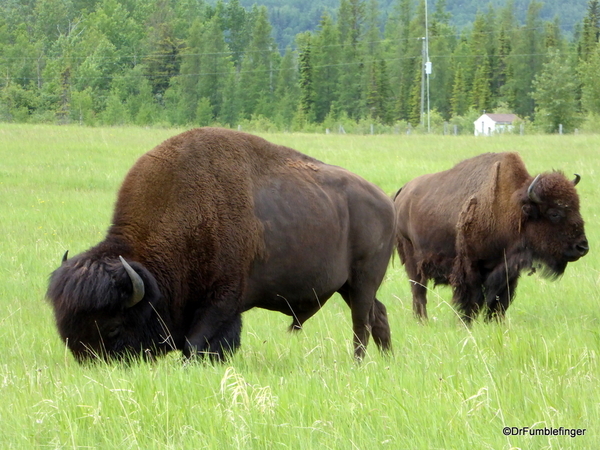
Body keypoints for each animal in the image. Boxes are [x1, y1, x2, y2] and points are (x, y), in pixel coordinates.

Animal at [45, 125, 394, 362]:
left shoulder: (221, 301)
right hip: (349, 286)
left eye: (114, 328)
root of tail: (385, 201)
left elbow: (196, 344)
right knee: (378, 314)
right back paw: (386, 361)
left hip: (362, 281)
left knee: (361, 323)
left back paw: (358, 364)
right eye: (64, 328)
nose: (92, 364)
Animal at [396, 153, 588, 322]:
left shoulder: (508, 272)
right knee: (419, 292)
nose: (582, 247)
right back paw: (422, 321)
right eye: (554, 213)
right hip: (413, 261)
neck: (511, 209)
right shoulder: (470, 269)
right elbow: (470, 302)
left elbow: (499, 303)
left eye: (577, 207)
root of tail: (402, 192)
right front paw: (465, 324)